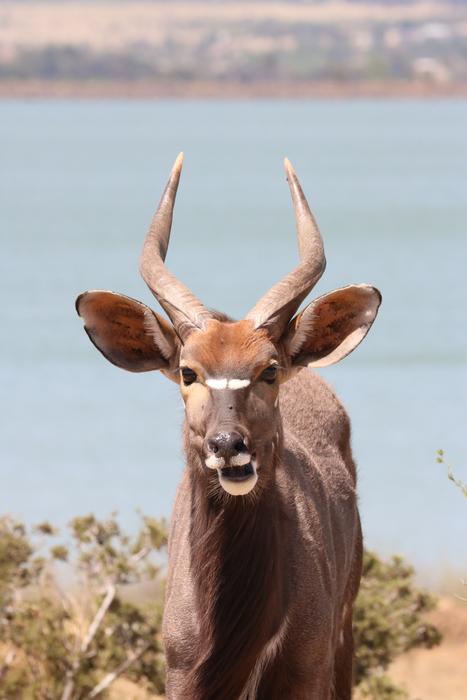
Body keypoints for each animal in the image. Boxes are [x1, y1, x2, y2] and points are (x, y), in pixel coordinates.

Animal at [76, 153, 381, 700]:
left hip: (343, 641)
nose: (227, 446)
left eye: (269, 370)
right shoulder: (182, 676)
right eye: (187, 372)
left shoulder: (306, 671)